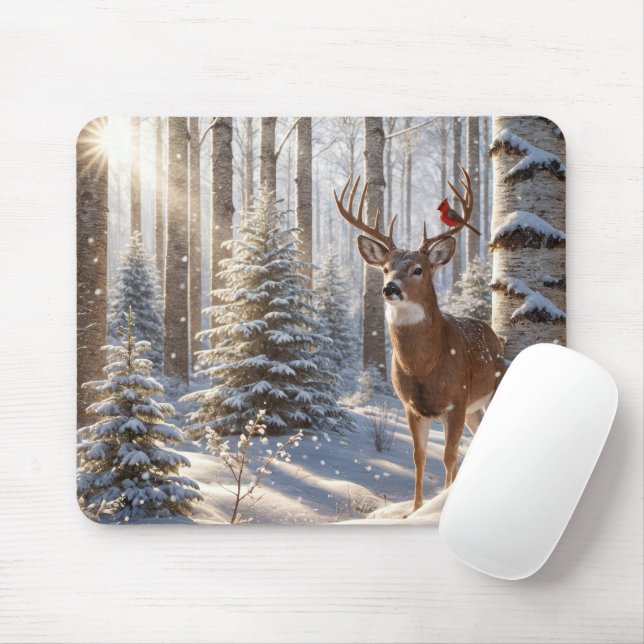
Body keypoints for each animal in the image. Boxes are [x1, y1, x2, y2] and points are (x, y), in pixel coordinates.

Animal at [334, 165, 506, 512]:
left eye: (418, 269)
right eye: (385, 268)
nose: (390, 288)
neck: (425, 367)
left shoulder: (456, 401)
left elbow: (449, 456)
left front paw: (438, 504)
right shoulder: (411, 408)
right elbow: (419, 457)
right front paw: (414, 510)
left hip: (487, 394)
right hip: (473, 410)